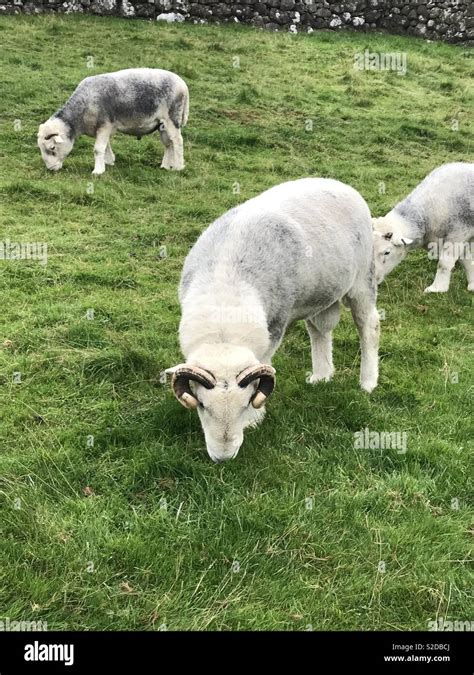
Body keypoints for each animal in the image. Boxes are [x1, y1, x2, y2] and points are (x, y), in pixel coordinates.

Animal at [37, 67, 189, 174]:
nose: (50, 168)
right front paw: (109, 162)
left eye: (52, 148)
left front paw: (98, 171)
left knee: (177, 141)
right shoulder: (102, 128)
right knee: (168, 144)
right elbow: (105, 147)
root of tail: (183, 85)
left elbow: (98, 149)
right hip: (162, 124)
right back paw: (165, 166)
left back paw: (178, 167)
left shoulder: (104, 125)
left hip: (172, 118)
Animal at [167, 177, 382, 462]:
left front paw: (256, 418)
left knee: (369, 326)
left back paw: (368, 382)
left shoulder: (276, 326)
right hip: (320, 293)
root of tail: (338, 183)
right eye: (201, 405)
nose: (223, 458)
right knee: (320, 331)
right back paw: (321, 376)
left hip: (362, 280)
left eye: (246, 403)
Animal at [372, 164, 472, 294]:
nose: (372, 279)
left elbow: (444, 263)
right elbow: (467, 261)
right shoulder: (460, 238)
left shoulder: (458, 233)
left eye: (387, 252)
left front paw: (437, 288)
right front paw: (472, 284)